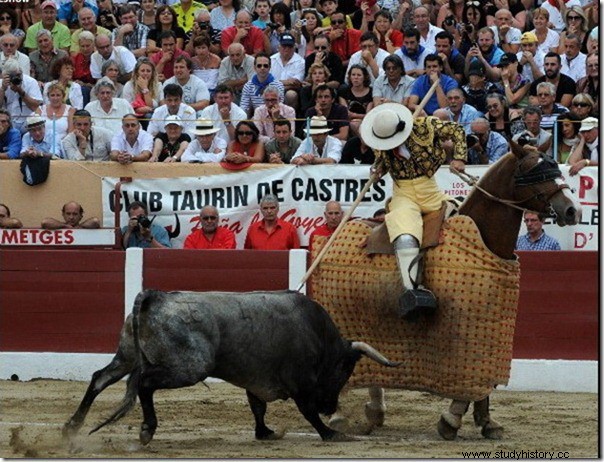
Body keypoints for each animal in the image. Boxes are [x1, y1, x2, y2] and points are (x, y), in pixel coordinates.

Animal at [63, 288, 398, 444]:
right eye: (343, 372)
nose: (330, 407)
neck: (318, 333)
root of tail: (154, 297)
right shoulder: (300, 381)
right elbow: (306, 411)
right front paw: (330, 433)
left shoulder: (256, 378)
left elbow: (258, 407)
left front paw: (265, 433)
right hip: (191, 366)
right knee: (145, 383)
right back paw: (147, 429)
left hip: (128, 355)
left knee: (100, 379)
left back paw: (71, 426)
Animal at [312, 143, 580, 442]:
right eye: (536, 172)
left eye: (555, 166)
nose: (572, 210)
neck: (484, 237)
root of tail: (330, 237)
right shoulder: (465, 331)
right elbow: (467, 385)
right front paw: (451, 420)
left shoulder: (489, 330)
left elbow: (483, 382)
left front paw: (488, 422)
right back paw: (338, 417)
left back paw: (374, 411)